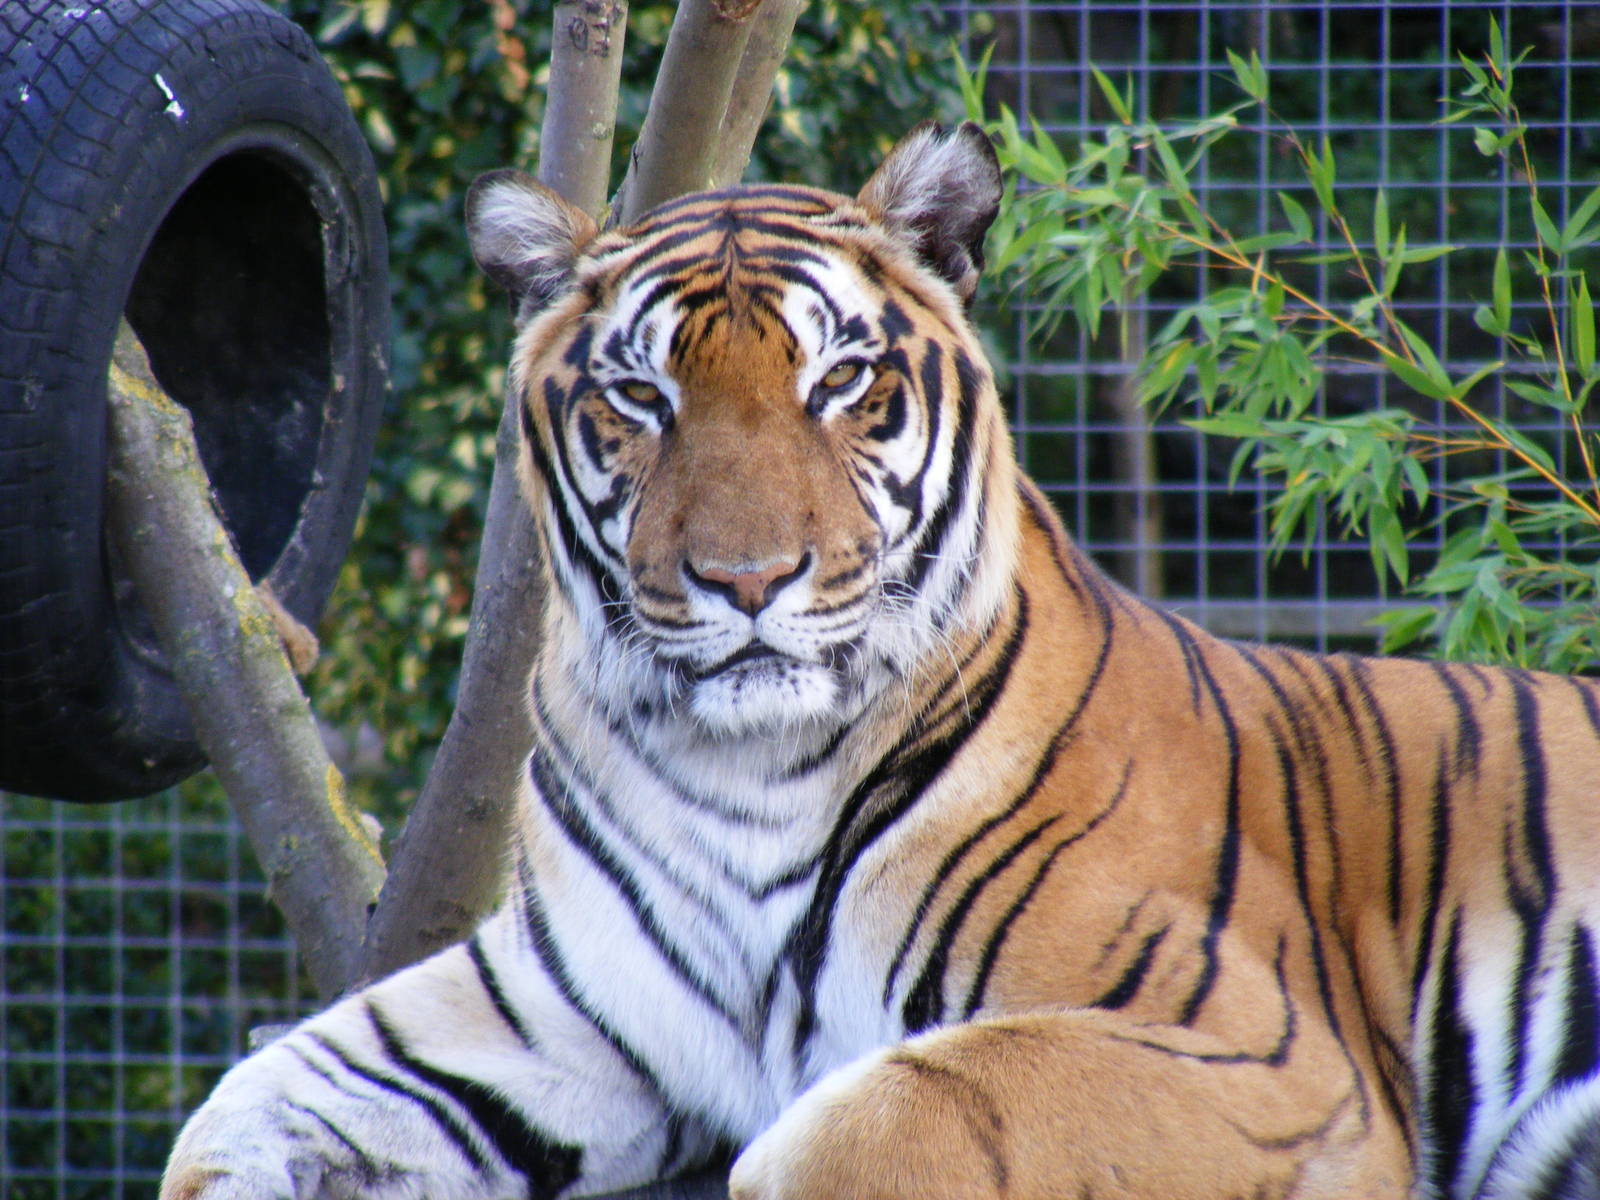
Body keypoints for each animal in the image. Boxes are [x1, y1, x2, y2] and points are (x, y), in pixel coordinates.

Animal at [160, 120, 1600, 1200]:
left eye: (841, 382)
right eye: (641, 398)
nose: (746, 580)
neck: (745, 766)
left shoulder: (1262, 1052)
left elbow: (868, 1127)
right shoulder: (556, 1015)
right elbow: (233, 1112)